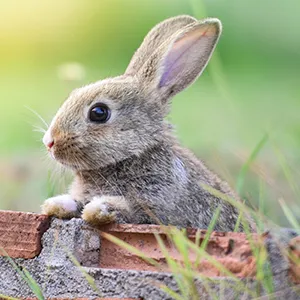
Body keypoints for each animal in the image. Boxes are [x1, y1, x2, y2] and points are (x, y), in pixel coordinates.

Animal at [41, 14, 254, 232]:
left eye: (99, 112)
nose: (49, 141)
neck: (133, 155)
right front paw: (56, 204)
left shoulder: (156, 206)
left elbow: (128, 210)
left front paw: (98, 209)